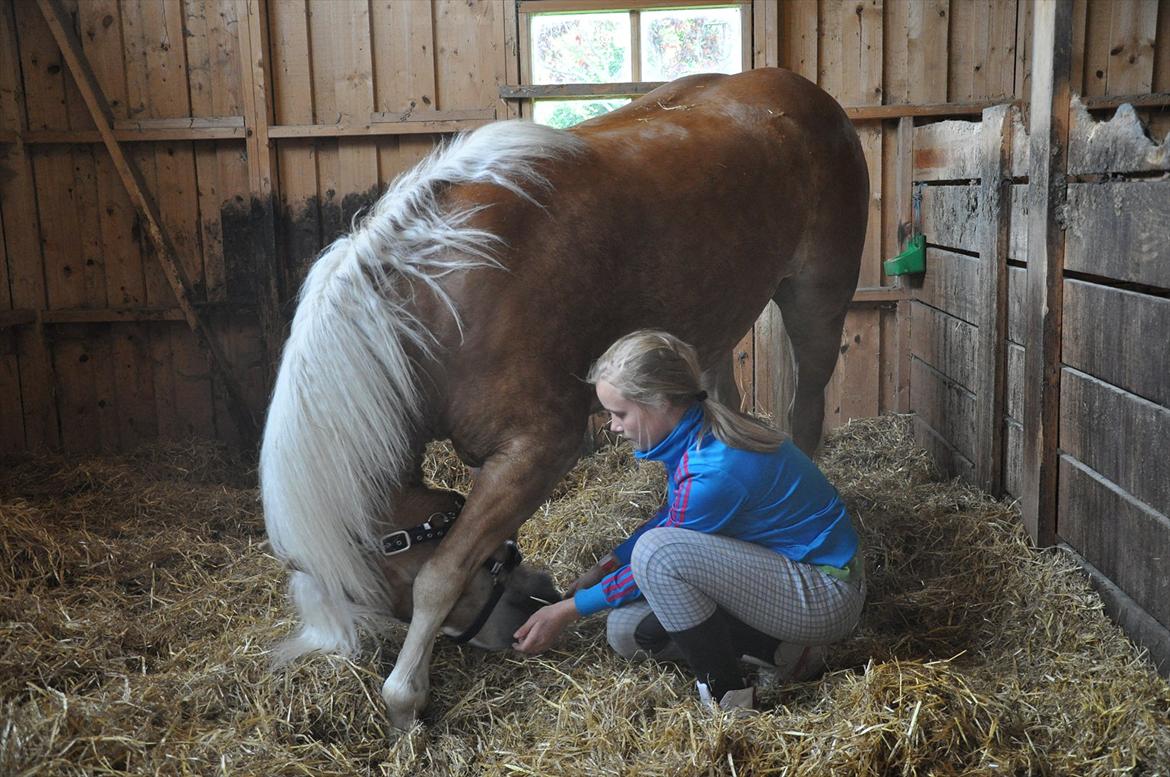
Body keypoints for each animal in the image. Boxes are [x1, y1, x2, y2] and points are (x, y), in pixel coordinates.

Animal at [265, 66, 870, 730]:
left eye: (385, 590)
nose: (538, 595)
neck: (440, 299)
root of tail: (798, 90)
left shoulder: (538, 450)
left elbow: (442, 575)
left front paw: (405, 699)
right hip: (712, 325)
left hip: (817, 301)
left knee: (805, 414)